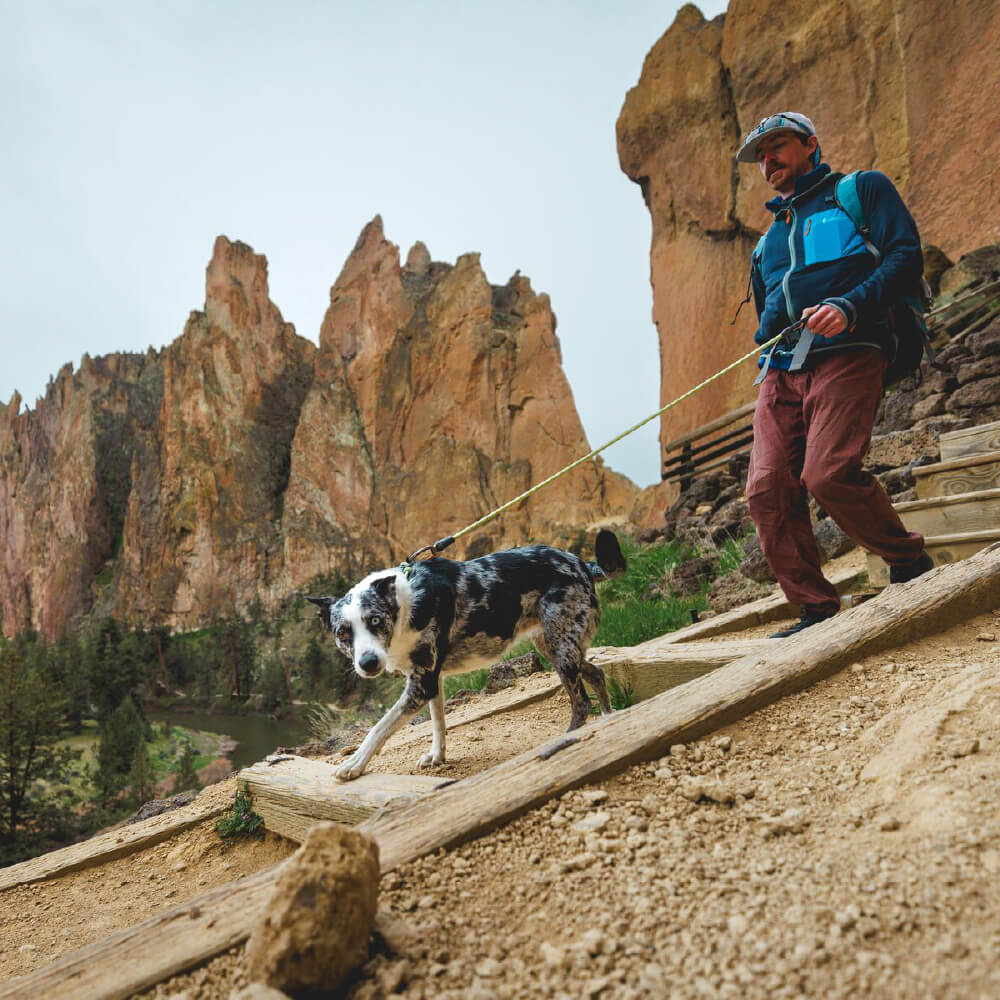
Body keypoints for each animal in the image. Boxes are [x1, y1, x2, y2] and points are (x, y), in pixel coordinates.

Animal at [308, 532, 628, 780]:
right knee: (596, 673)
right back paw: (609, 718)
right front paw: (437, 756)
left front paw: (354, 764)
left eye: (375, 620)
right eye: (343, 633)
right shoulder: (431, 681)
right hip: (554, 645)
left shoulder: (421, 684)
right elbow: (438, 722)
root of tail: (582, 564)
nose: (368, 663)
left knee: (581, 702)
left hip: (560, 646)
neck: (404, 605)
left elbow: (379, 728)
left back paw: (569, 735)